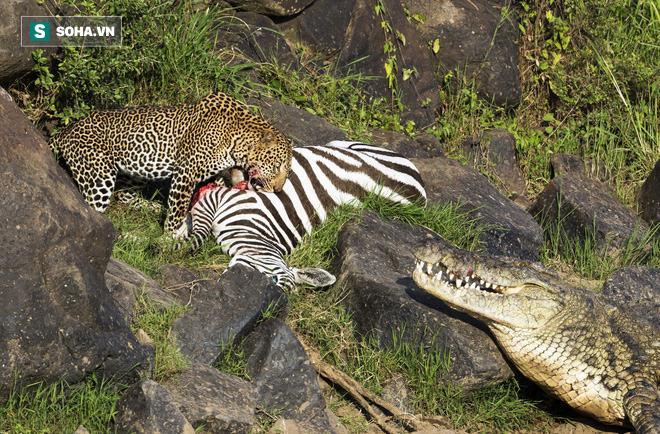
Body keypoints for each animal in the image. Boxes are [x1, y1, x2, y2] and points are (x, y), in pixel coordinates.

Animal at [52, 91, 296, 237]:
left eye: (287, 172)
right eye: (277, 166)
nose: (278, 189)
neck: (237, 141)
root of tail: (66, 129)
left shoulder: (215, 174)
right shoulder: (186, 173)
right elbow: (179, 208)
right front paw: (170, 237)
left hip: (137, 171)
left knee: (124, 196)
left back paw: (155, 206)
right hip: (99, 177)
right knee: (92, 207)